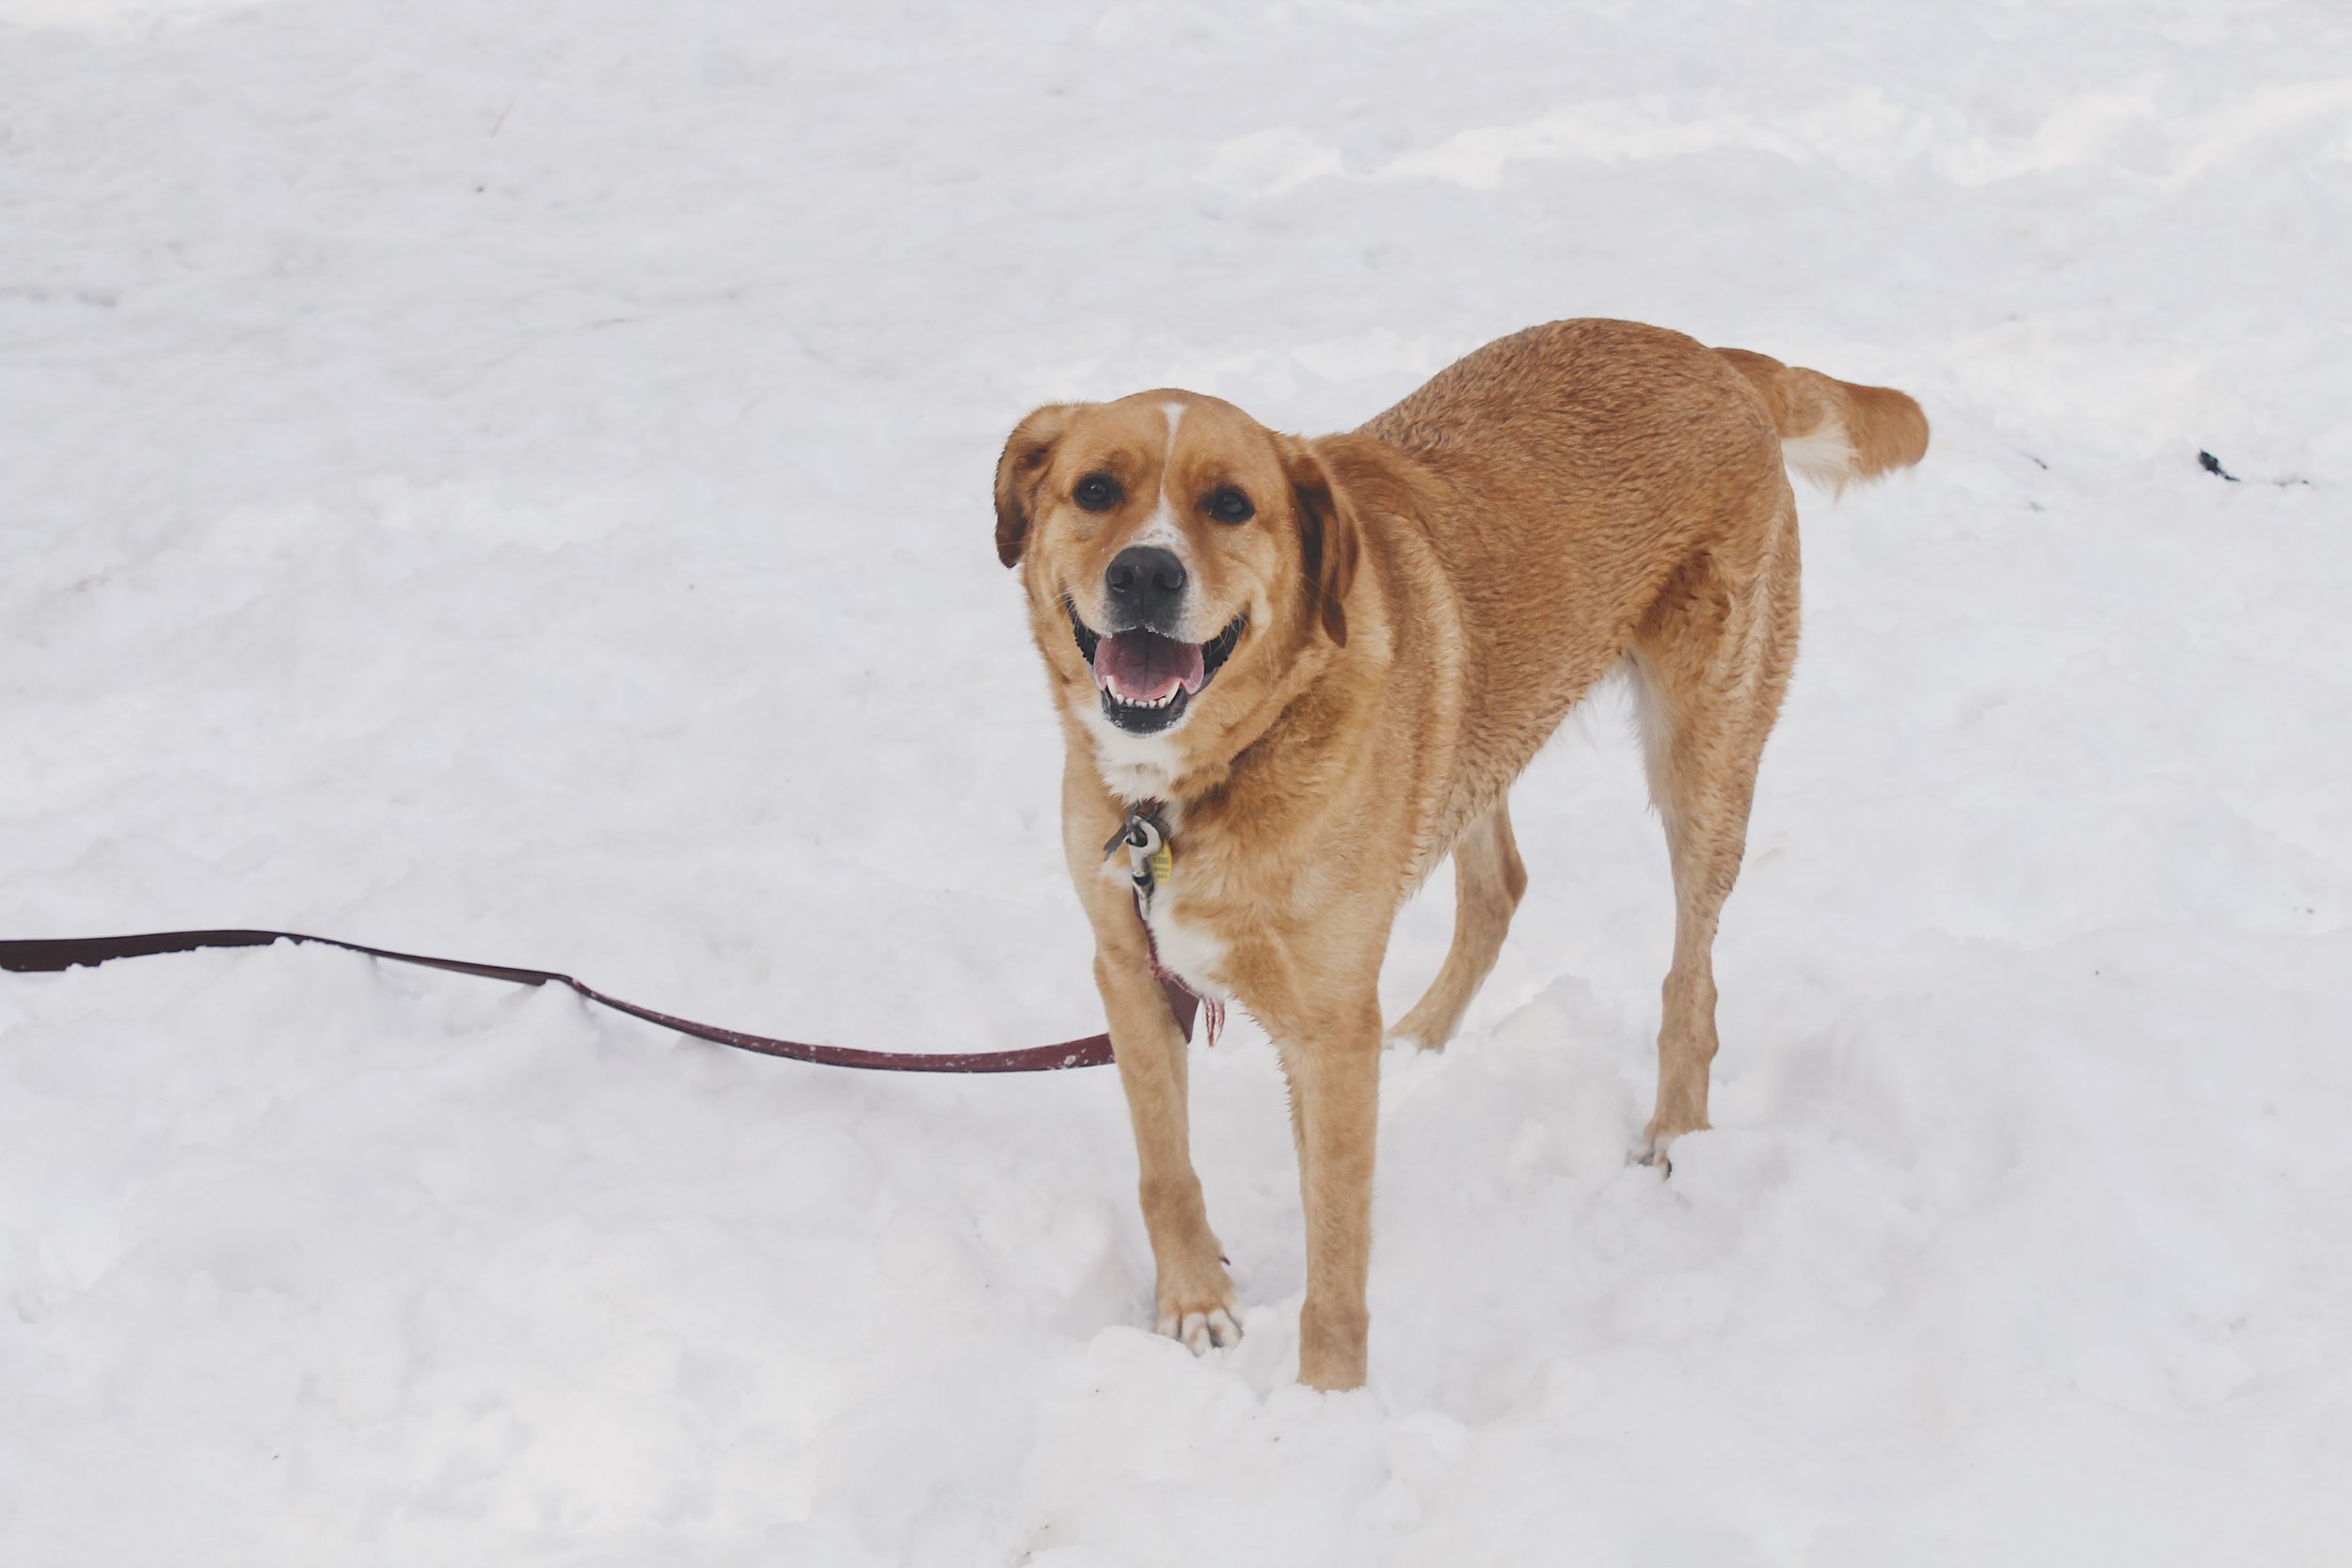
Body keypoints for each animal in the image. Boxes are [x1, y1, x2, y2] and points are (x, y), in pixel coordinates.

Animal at [993, 314, 1929, 1382]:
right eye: (1095, 490)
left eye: (1230, 504)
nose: (1144, 573)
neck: (1195, 787)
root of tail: (1710, 354)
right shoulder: (1127, 970)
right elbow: (1164, 1166)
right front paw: (1193, 1300)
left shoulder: (1328, 1033)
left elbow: (1336, 1257)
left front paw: (1328, 1401)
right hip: (1475, 729)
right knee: (1500, 886)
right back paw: (1421, 1038)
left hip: (1704, 758)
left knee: (1691, 980)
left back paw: (1674, 1131)